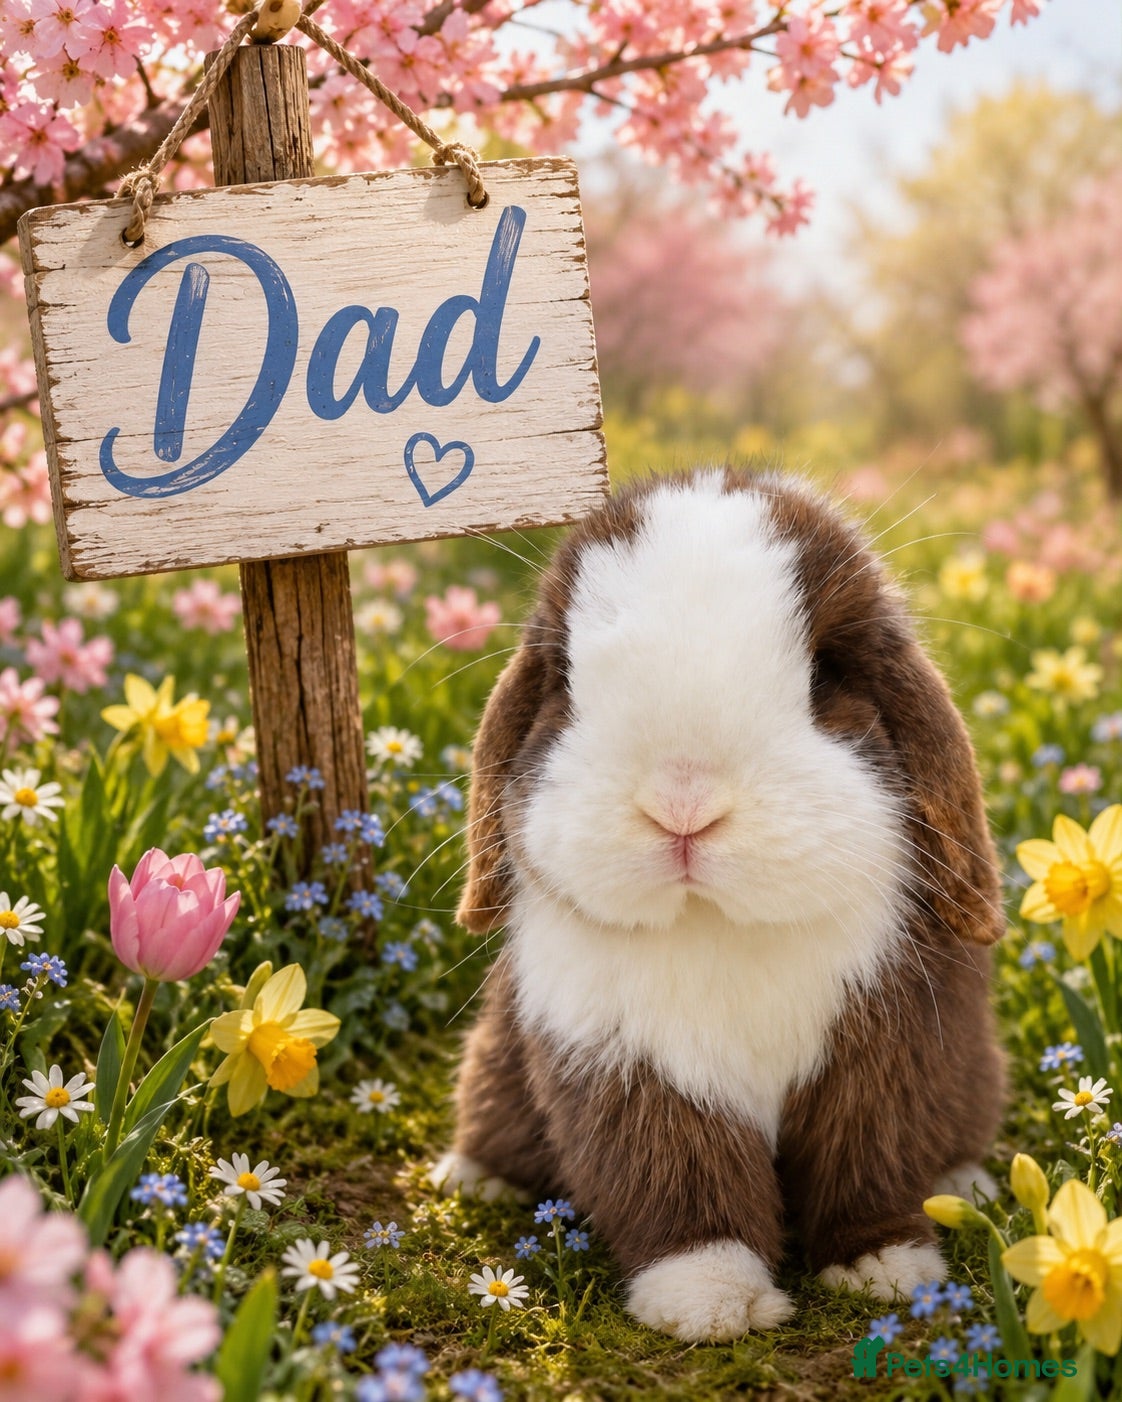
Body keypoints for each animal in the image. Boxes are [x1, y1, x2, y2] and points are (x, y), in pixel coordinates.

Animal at [431, 466, 1005, 1343]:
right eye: (564, 680)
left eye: (824, 673)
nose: (683, 803)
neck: (721, 924)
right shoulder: (627, 1066)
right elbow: (676, 1177)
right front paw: (710, 1303)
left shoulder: (891, 1053)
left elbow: (874, 1161)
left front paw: (888, 1269)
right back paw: (478, 1178)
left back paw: (969, 1185)